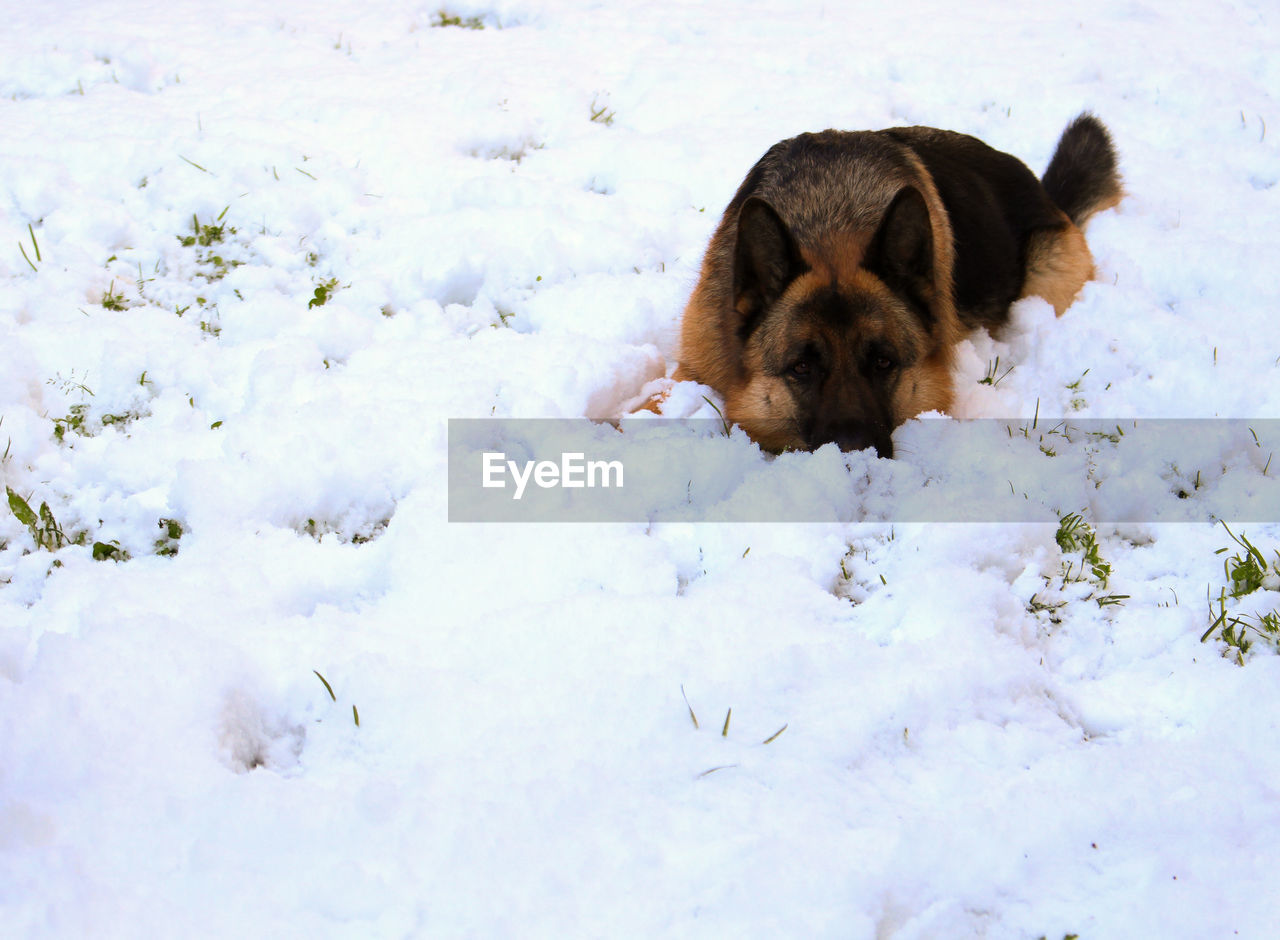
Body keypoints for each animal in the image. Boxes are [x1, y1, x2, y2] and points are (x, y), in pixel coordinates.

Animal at [675, 113, 1116, 461]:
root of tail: (1047, 195)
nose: (854, 454)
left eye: (884, 362)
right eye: (801, 367)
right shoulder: (694, 365)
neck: (829, 221)